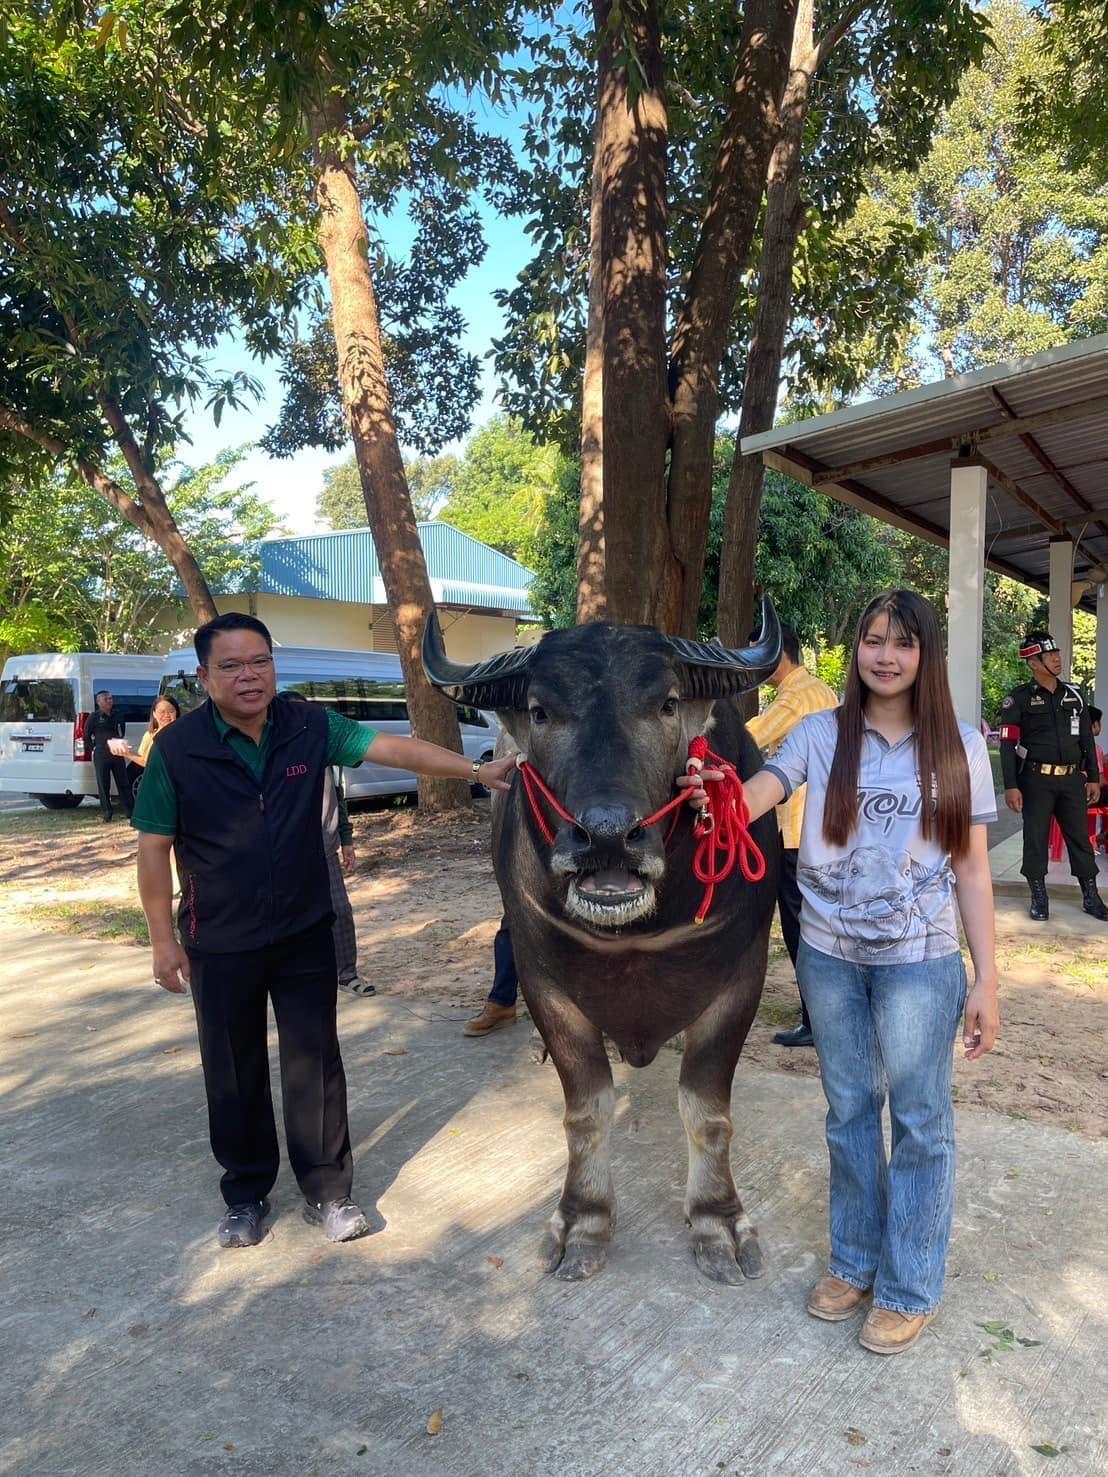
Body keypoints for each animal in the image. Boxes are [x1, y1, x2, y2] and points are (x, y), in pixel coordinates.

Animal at [422, 608, 780, 1282]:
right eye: (540, 711)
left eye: (668, 704)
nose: (608, 835)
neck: (637, 931)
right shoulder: (544, 983)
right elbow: (585, 1110)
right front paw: (582, 1220)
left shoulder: (741, 980)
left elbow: (707, 1111)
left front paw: (717, 1220)